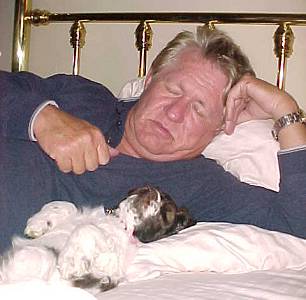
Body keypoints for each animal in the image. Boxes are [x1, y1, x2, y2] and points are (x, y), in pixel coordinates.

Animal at [0, 186, 196, 294]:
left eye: (166, 214)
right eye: (144, 189)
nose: (151, 191)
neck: (118, 221)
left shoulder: (108, 270)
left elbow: (88, 229)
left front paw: (71, 263)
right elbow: (67, 205)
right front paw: (37, 225)